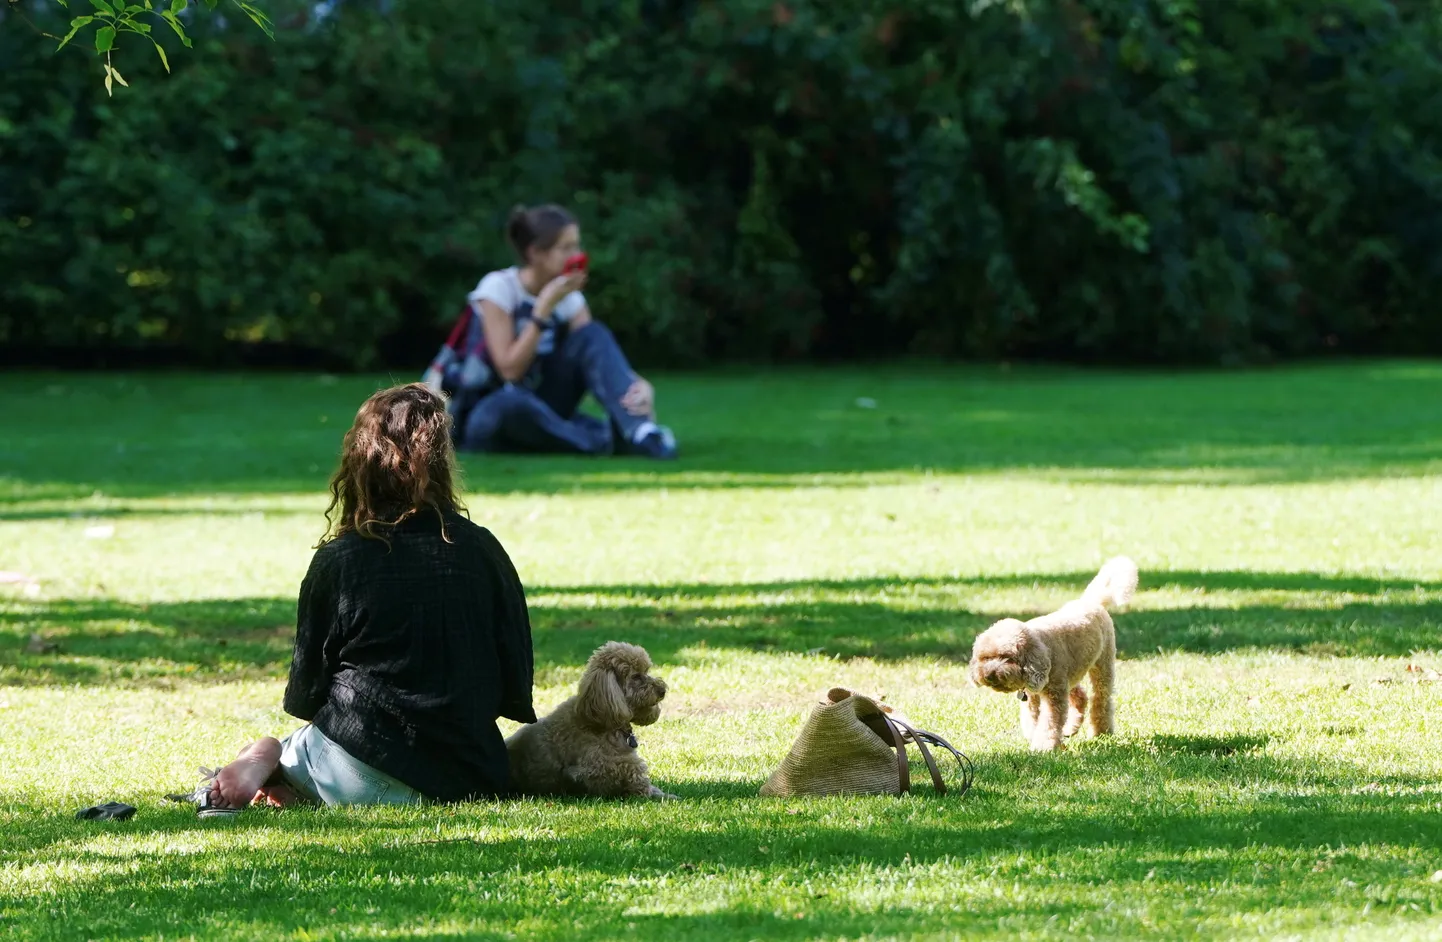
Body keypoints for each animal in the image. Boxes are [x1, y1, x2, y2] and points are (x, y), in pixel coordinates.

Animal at [969, 559, 1136, 750]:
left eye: (1007, 657)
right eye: (985, 658)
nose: (989, 675)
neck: (1040, 648)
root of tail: (1092, 601)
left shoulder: (1054, 695)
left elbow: (1050, 722)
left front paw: (1043, 746)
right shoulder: (1034, 694)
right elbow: (1033, 719)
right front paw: (1041, 739)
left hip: (1102, 665)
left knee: (1101, 698)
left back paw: (1101, 732)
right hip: (1069, 674)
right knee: (1080, 695)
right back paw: (1070, 729)